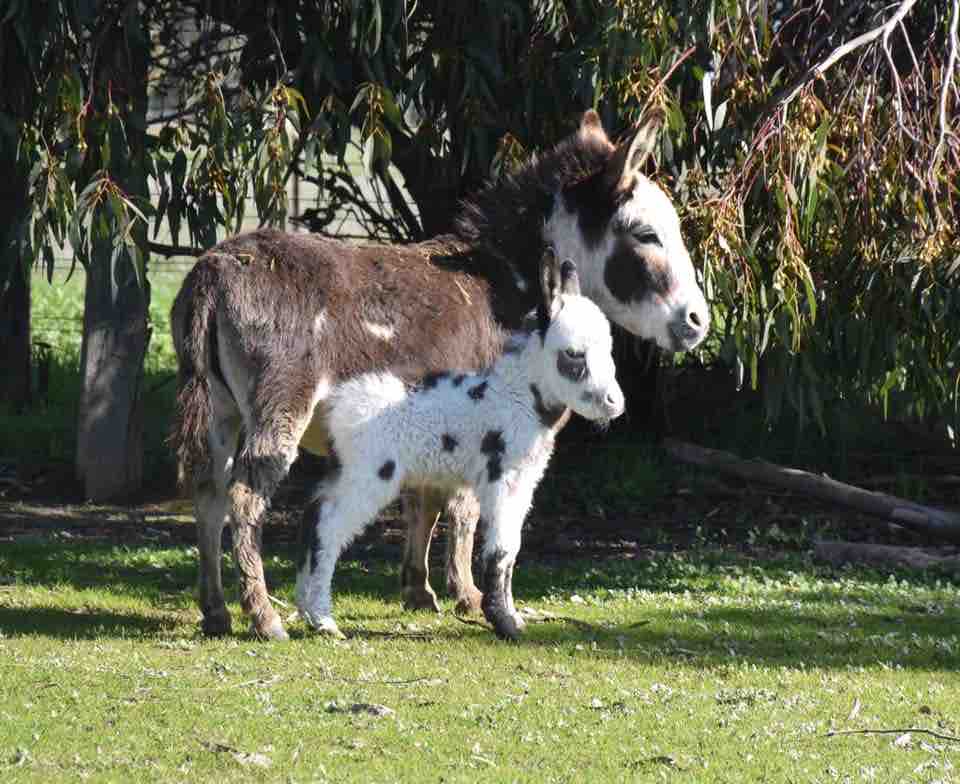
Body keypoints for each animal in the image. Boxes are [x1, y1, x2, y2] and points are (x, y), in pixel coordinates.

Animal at [296, 251, 628, 636]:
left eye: (609, 349)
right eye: (574, 354)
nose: (614, 403)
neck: (515, 397)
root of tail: (335, 402)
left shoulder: (525, 481)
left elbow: (512, 547)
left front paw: (509, 617)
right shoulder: (504, 479)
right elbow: (501, 548)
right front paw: (505, 623)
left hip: (346, 473)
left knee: (314, 516)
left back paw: (305, 608)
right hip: (369, 476)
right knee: (329, 528)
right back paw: (324, 621)